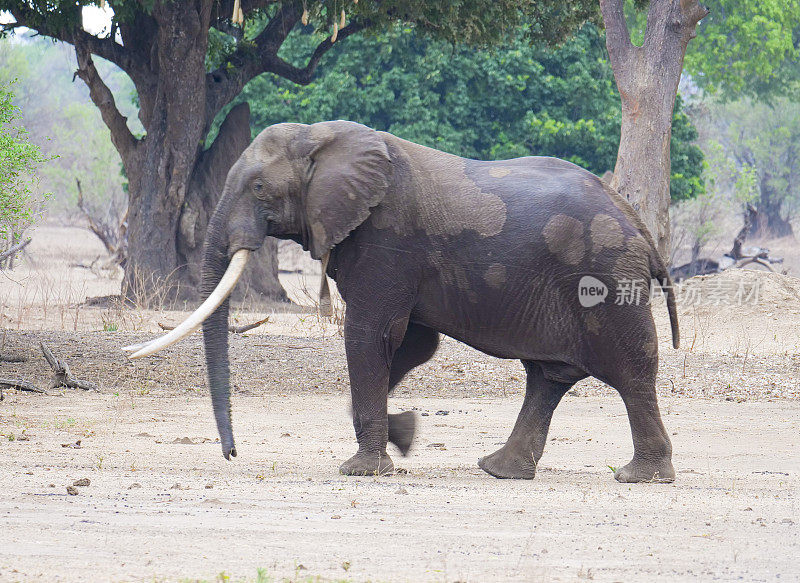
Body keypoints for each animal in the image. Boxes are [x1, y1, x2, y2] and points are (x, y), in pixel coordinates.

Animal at [126, 120, 680, 484]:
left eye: (259, 187)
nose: (232, 454)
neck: (322, 138)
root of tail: (641, 229)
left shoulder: (385, 237)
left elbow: (372, 335)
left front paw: (363, 469)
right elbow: (412, 343)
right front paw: (406, 435)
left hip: (606, 278)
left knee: (629, 371)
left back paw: (641, 476)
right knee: (547, 377)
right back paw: (499, 470)